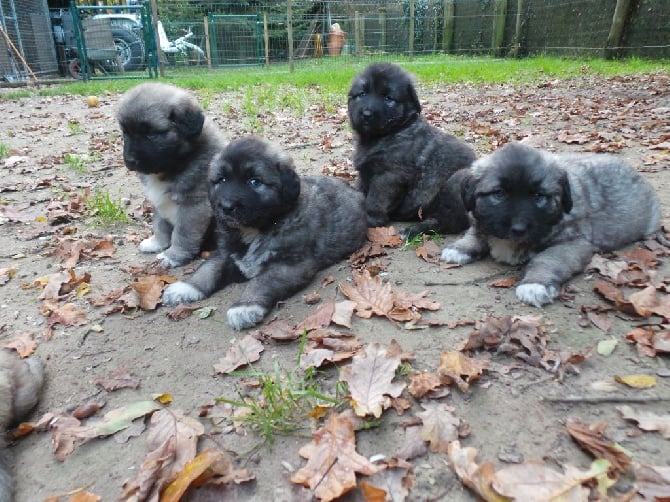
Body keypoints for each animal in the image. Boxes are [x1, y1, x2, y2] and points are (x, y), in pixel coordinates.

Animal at [118, 83, 226, 266]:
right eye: (126, 133)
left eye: (151, 134)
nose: (130, 160)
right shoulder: (158, 202)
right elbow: (160, 225)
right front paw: (157, 243)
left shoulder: (194, 206)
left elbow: (183, 234)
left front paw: (173, 255)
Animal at [162, 135, 368, 330]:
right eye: (222, 180)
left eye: (254, 182)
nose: (226, 207)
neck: (253, 231)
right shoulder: (225, 253)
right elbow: (207, 269)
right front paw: (185, 287)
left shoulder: (290, 265)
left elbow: (262, 282)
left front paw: (244, 307)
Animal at [346, 61, 478, 238]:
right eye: (362, 94)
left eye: (388, 98)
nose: (366, 114)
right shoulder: (365, 173)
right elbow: (360, 190)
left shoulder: (389, 175)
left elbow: (375, 200)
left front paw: (370, 219)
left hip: (458, 180)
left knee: (450, 222)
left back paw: (413, 230)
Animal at [440, 141, 660, 306]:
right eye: (499, 193)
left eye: (539, 196)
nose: (519, 229)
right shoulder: (483, 222)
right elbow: (475, 232)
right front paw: (460, 248)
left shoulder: (574, 244)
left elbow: (547, 259)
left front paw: (535, 283)